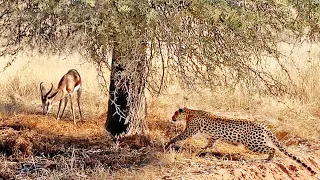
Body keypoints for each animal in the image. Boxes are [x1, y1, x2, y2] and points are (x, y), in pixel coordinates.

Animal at [166, 107, 316, 174]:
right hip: (257, 142)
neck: (189, 112)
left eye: (174, 113)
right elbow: (210, 143)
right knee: (272, 147)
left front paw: (168, 144)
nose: (172, 118)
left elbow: (177, 137)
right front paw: (203, 149)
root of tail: (263, 125)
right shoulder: (214, 136)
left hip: (253, 144)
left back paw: (269, 159)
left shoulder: (189, 132)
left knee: (272, 148)